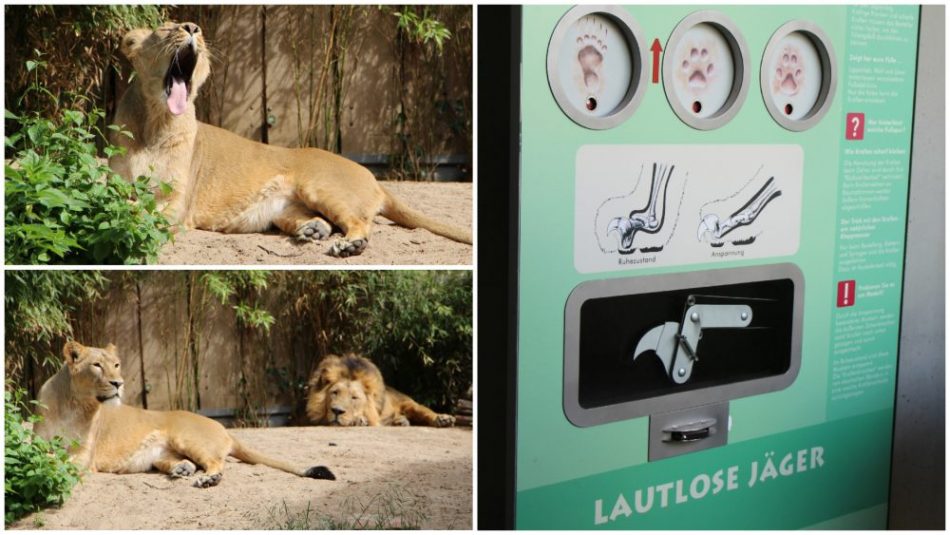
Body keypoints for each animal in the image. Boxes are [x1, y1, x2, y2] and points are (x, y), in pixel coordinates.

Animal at [34, 342, 338, 488]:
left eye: (116, 365)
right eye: (97, 365)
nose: (118, 383)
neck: (74, 405)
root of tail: (225, 430)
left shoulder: (85, 455)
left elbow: (59, 461)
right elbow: (45, 455)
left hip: (186, 437)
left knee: (216, 463)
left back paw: (207, 479)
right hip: (163, 453)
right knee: (186, 462)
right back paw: (182, 469)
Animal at [109, 20, 474, 255]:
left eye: (193, 28)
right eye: (165, 28)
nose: (192, 28)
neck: (155, 122)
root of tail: (373, 177)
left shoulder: (176, 203)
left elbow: (139, 214)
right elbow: (120, 202)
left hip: (320, 186)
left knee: (358, 221)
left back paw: (350, 244)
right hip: (284, 208)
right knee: (319, 220)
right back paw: (314, 229)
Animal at [304, 356, 454, 428]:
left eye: (354, 398)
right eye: (334, 392)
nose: (337, 411)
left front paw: (358, 419)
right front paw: (358, 419)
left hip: (409, 403)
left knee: (424, 411)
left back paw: (443, 419)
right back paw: (400, 421)